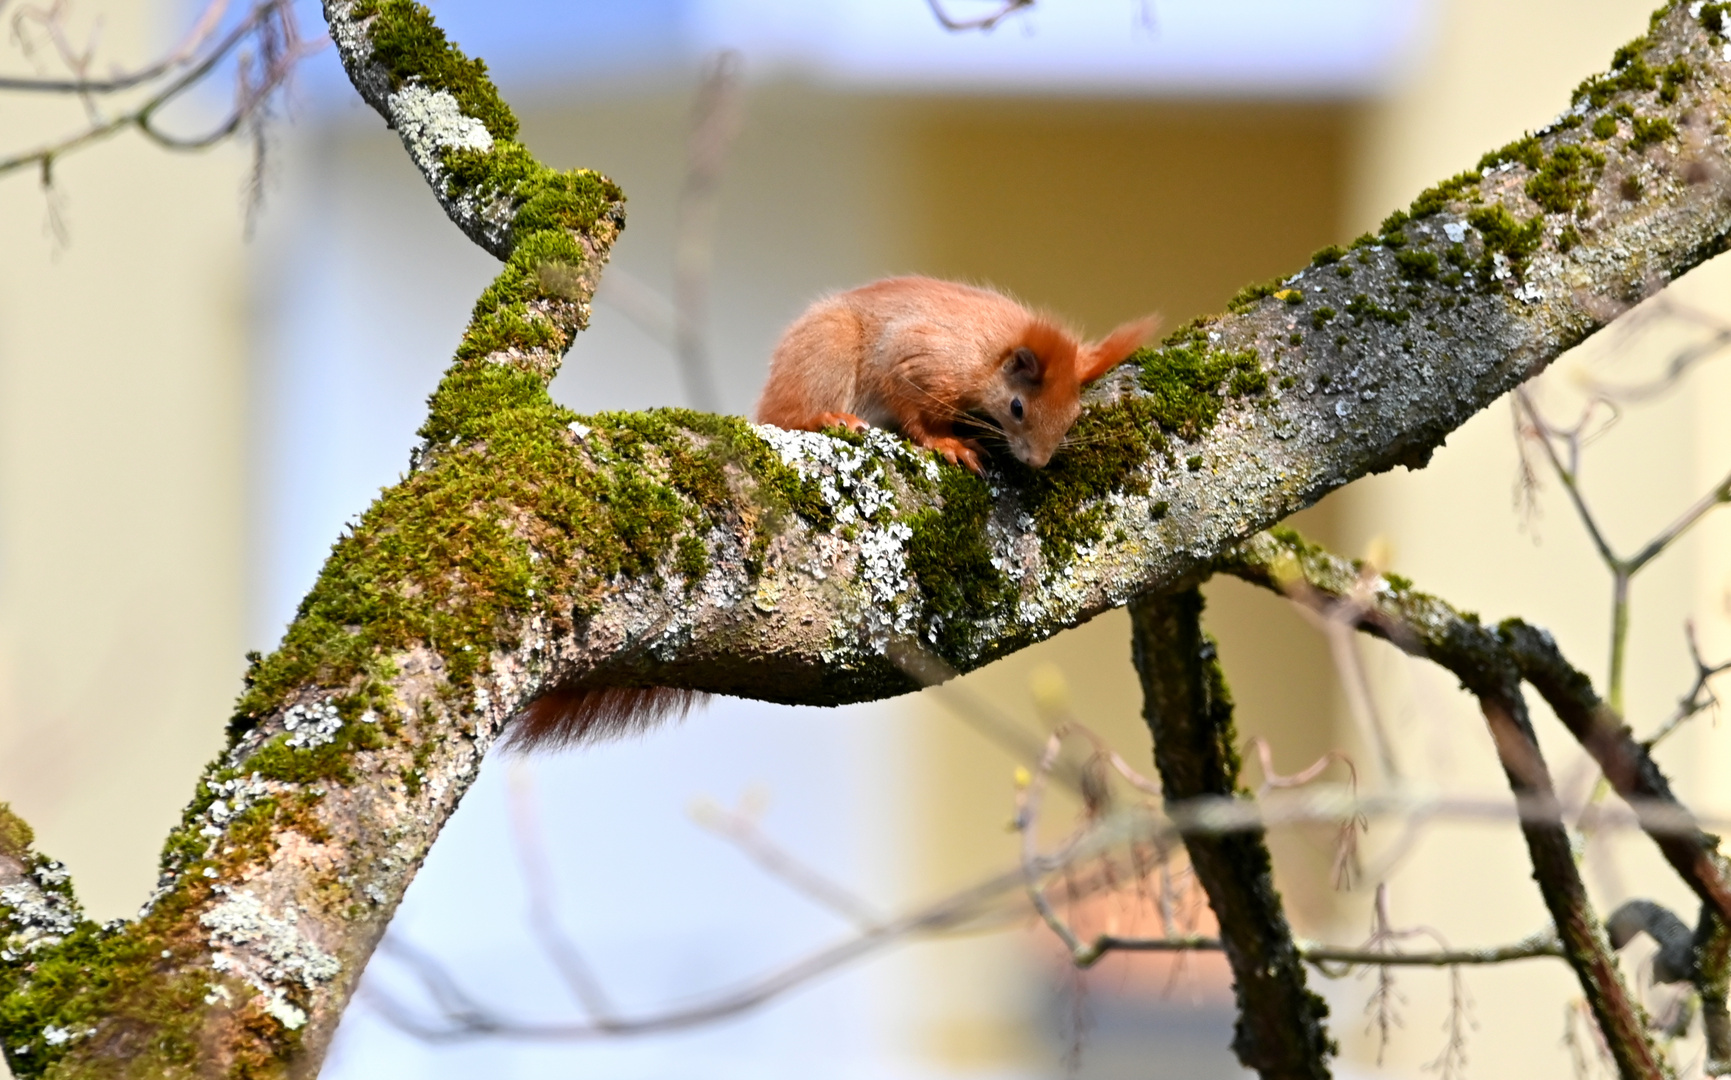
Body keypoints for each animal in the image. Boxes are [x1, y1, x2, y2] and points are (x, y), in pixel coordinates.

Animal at [751, 273, 1156, 470]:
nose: (1036, 463)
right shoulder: (917, 361)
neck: (988, 358)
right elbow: (914, 415)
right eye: (1017, 408)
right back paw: (828, 418)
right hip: (828, 350)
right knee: (785, 417)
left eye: (1074, 416)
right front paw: (948, 443)